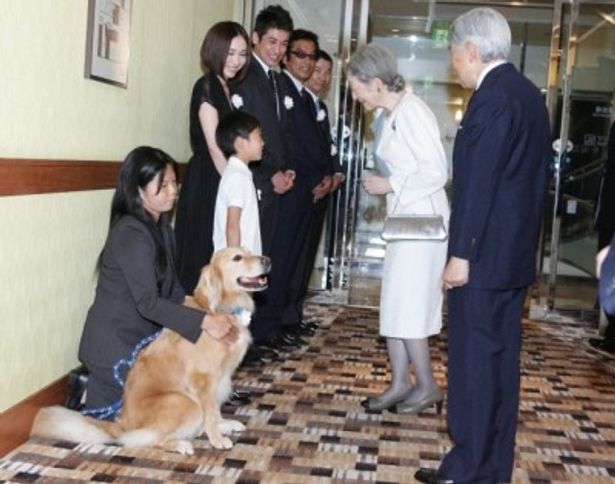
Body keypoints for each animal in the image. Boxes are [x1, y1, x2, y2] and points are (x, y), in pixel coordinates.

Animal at [31, 248, 270, 456]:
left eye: (249, 251)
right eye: (237, 257)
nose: (267, 260)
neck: (221, 308)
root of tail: (122, 423)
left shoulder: (221, 379)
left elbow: (215, 410)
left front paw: (223, 425)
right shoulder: (203, 379)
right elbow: (210, 412)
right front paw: (217, 438)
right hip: (184, 402)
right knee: (149, 439)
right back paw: (180, 444)